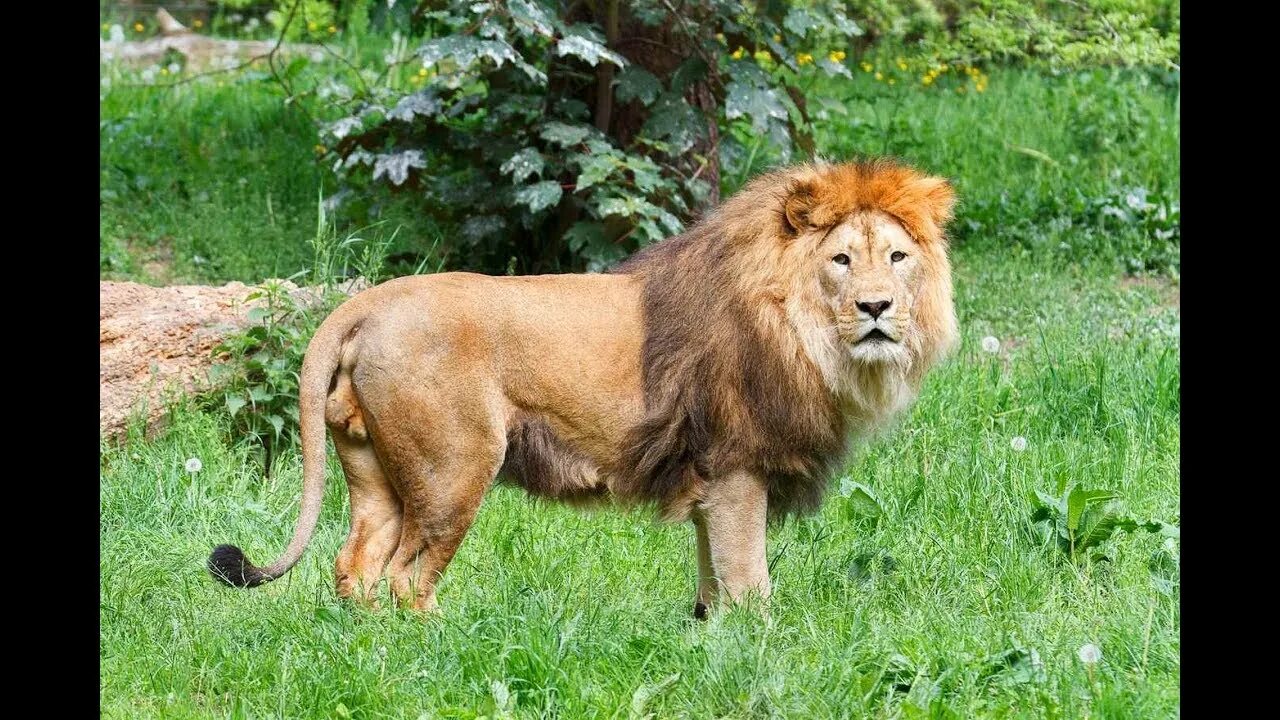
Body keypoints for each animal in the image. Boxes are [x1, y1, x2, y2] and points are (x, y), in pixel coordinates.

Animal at [207, 158, 952, 617]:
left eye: (898, 257)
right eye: (842, 260)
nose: (878, 308)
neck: (807, 337)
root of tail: (365, 303)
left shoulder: (710, 483)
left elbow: (712, 577)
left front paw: (708, 636)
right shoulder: (736, 467)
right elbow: (748, 578)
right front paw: (758, 647)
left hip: (378, 469)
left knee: (356, 567)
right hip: (455, 469)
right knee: (405, 578)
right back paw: (450, 641)